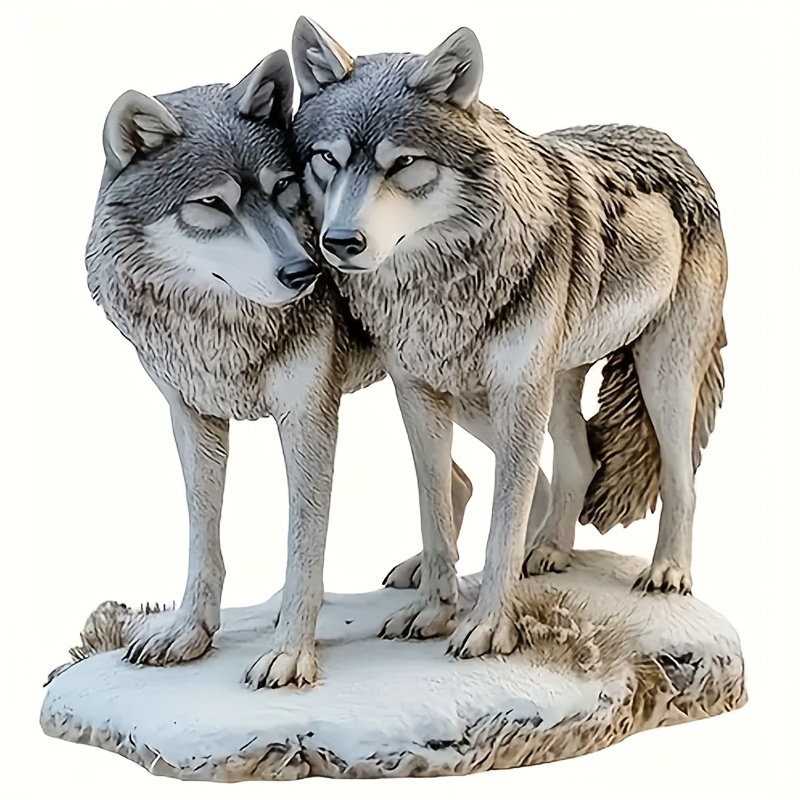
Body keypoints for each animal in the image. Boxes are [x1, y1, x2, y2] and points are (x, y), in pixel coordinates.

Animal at [85, 49, 487, 689]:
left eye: (283, 188)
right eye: (213, 203)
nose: (307, 272)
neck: (220, 328)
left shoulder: (308, 418)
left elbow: (305, 549)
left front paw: (291, 653)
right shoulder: (191, 419)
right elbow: (202, 539)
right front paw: (188, 632)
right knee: (460, 481)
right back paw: (426, 573)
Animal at [292, 18, 728, 659]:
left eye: (403, 163)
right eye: (327, 158)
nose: (340, 243)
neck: (438, 286)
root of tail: (673, 141)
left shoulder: (518, 392)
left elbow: (503, 522)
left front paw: (487, 626)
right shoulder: (417, 390)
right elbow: (433, 504)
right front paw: (433, 609)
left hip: (659, 376)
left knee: (681, 477)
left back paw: (667, 570)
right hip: (532, 387)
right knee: (576, 460)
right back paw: (546, 551)